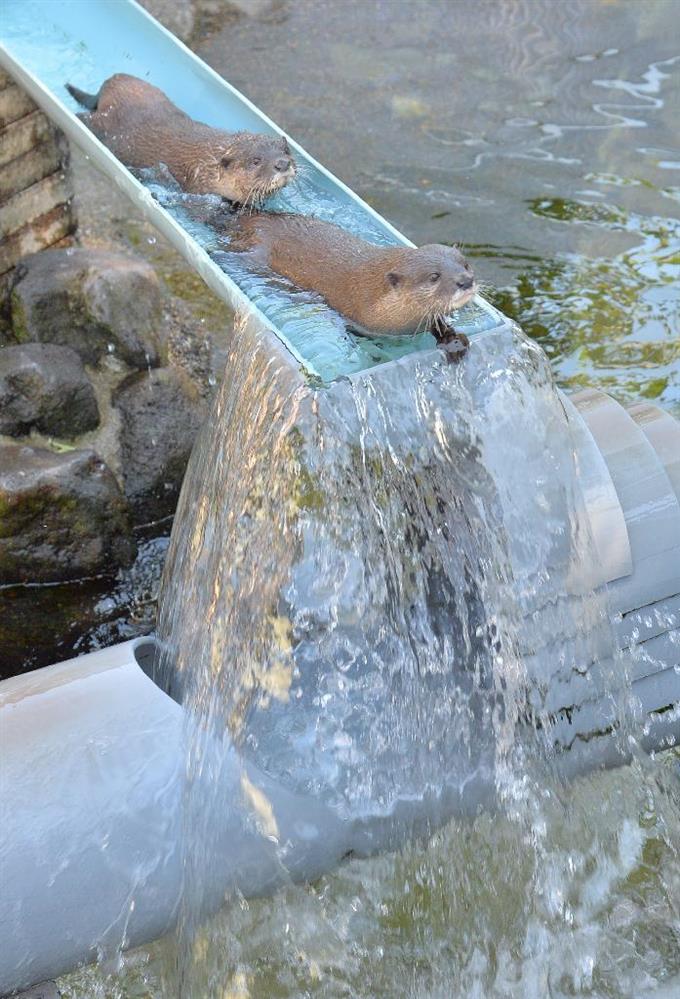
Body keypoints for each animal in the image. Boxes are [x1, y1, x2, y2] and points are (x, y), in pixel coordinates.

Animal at [65, 74, 294, 205]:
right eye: (255, 161)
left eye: (286, 150)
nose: (282, 164)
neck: (207, 166)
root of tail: (111, 83)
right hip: (105, 122)